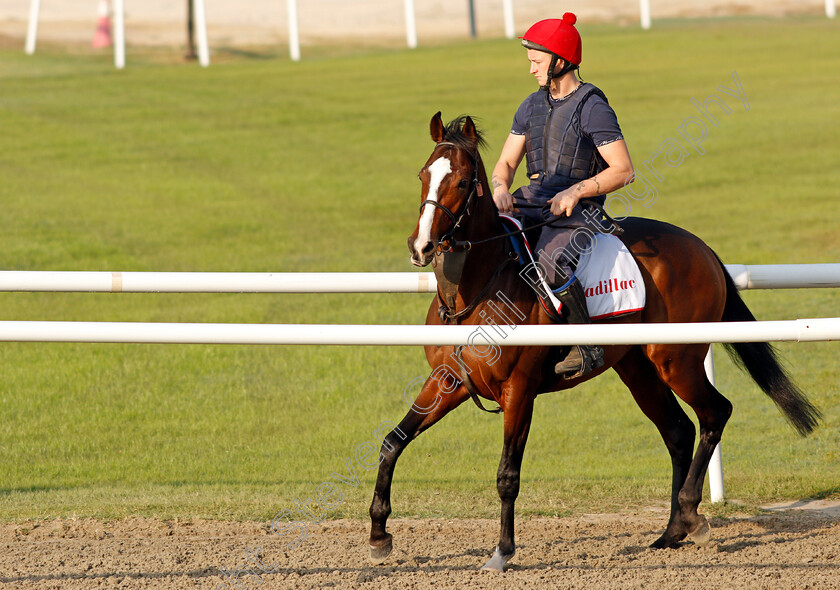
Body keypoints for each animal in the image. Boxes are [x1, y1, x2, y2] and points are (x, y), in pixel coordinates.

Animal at [366, 112, 812, 572]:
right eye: (423, 174)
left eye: (461, 181)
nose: (421, 246)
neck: (476, 290)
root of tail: (702, 248)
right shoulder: (447, 381)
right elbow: (392, 442)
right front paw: (379, 534)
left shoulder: (519, 390)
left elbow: (508, 475)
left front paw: (502, 550)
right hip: (638, 368)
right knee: (678, 430)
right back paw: (672, 531)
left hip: (677, 361)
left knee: (714, 414)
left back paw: (690, 515)